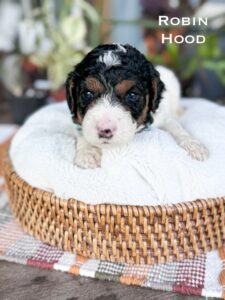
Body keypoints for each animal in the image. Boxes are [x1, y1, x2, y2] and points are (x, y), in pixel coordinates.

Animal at [65, 43, 209, 169]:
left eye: (132, 95)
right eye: (87, 94)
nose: (105, 130)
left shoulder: (162, 117)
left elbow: (176, 127)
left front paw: (194, 145)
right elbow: (80, 131)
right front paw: (87, 153)